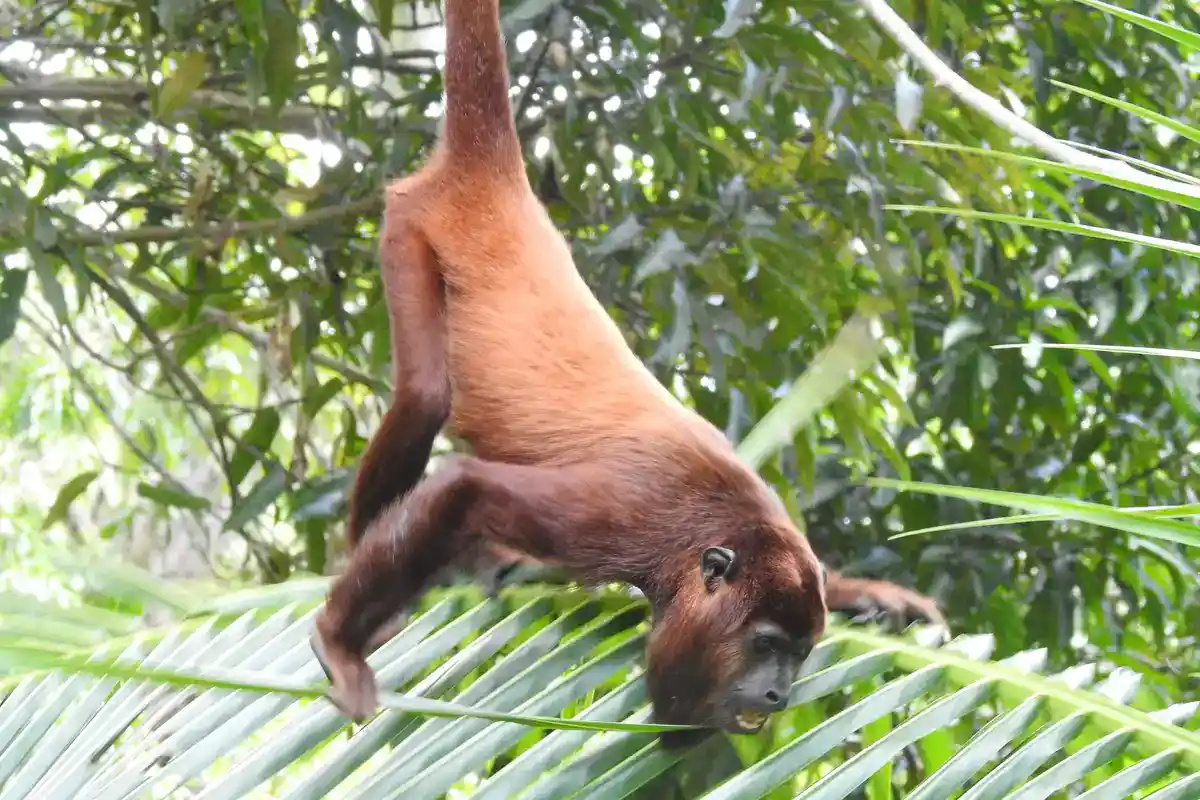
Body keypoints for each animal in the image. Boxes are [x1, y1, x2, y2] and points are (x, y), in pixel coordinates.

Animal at [311, 0, 944, 746]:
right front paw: (337, 641)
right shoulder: (630, 519)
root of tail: (496, 179)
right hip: (410, 225)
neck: (715, 532)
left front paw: (877, 597)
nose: (780, 692)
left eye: (800, 652)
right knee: (422, 398)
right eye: (764, 645)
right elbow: (466, 487)